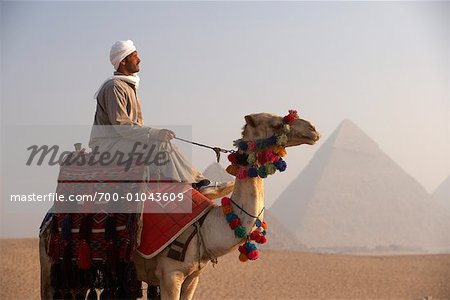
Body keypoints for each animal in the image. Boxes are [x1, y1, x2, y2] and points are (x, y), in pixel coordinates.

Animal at [39, 110, 320, 300]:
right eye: (277, 122)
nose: (313, 130)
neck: (205, 225)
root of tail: (49, 218)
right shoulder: (170, 275)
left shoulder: (193, 277)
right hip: (55, 264)